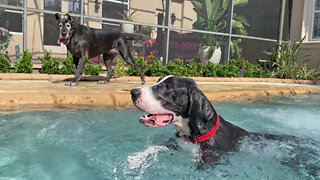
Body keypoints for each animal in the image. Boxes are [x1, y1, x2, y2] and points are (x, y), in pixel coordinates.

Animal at [129, 76, 320, 172]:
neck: (196, 134)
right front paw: (136, 160)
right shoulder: (178, 144)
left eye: (168, 87)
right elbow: (155, 148)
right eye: (158, 81)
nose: (133, 92)